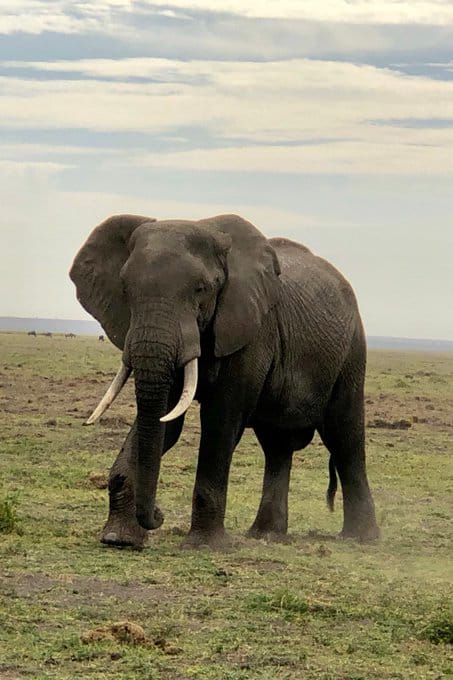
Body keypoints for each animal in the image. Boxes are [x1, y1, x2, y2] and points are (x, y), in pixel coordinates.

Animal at [70, 213, 379, 549]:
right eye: (125, 290)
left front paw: (203, 546)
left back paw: (361, 539)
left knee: (344, 436)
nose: (158, 515)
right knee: (277, 445)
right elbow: (165, 419)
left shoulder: (252, 329)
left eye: (201, 289)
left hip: (351, 350)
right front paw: (118, 539)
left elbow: (221, 420)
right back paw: (267, 535)